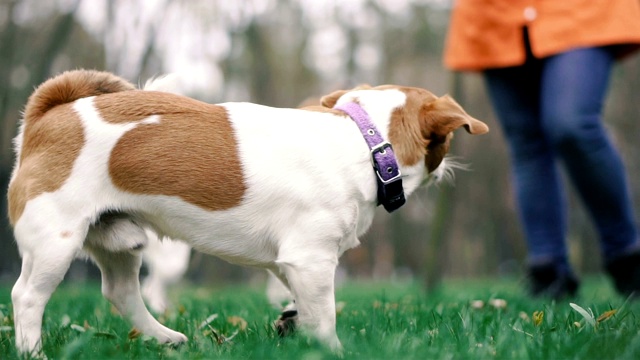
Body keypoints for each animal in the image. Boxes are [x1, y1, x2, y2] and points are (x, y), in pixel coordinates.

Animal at [7, 69, 488, 354]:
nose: (450, 167)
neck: (364, 137)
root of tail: (51, 114)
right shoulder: (311, 260)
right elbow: (325, 316)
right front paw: (331, 349)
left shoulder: (289, 263)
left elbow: (300, 305)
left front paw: (292, 324)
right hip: (56, 241)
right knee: (27, 298)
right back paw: (33, 351)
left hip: (120, 241)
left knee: (122, 292)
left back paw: (164, 337)